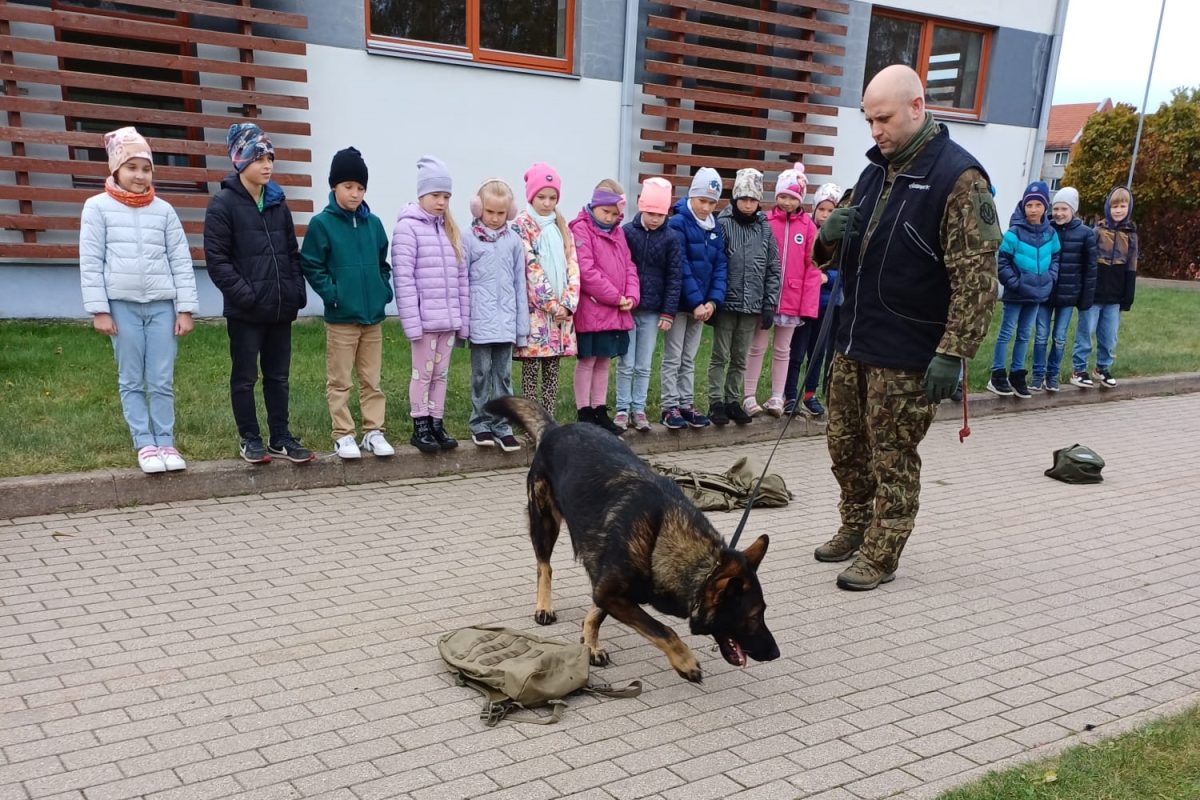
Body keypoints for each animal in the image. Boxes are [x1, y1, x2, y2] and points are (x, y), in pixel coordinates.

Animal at [482, 393, 782, 681]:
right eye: (754, 617)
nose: (775, 654)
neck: (660, 540)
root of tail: (557, 428)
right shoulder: (612, 592)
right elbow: (662, 630)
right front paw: (685, 661)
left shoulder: (609, 589)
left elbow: (597, 613)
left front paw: (590, 642)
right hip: (545, 520)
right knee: (544, 566)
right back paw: (544, 606)